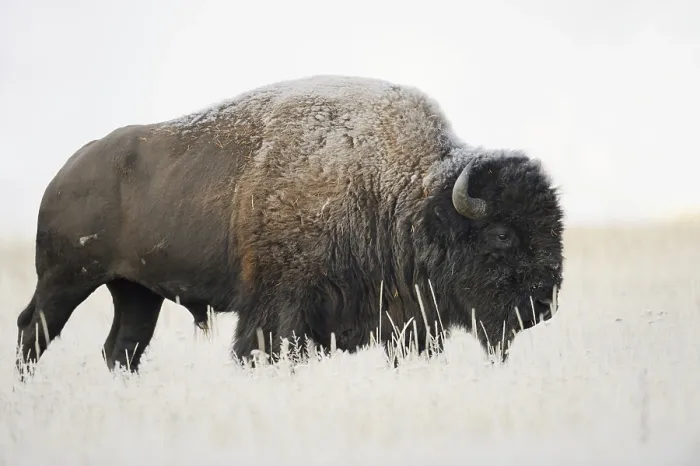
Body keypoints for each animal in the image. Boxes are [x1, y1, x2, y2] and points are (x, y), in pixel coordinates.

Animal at [15, 75, 564, 376]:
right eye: (501, 234)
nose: (543, 305)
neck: (396, 190)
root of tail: (65, 174)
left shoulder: (403, 316)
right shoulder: (279, 305)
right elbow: (264, 347)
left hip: (136, 292)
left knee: (120, 349)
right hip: (66, 280)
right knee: (33, 330)